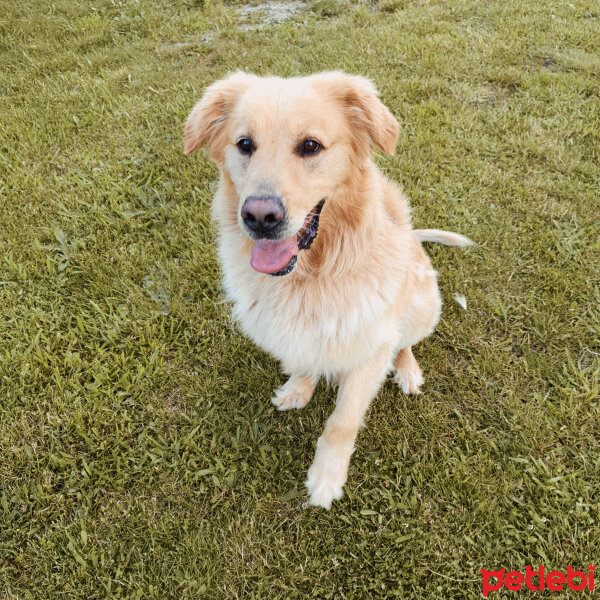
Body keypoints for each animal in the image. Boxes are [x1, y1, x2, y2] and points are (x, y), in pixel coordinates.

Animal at [184, 72, 474, 508]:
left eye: (310, 146)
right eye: (245, 144)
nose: (259, 217)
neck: (311, 276)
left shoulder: (370, 350)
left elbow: (342, 421)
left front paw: (326, 478)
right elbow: (305, 360)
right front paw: (298, 389)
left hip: (422, 306)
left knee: (405, 343)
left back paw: (407, 370)